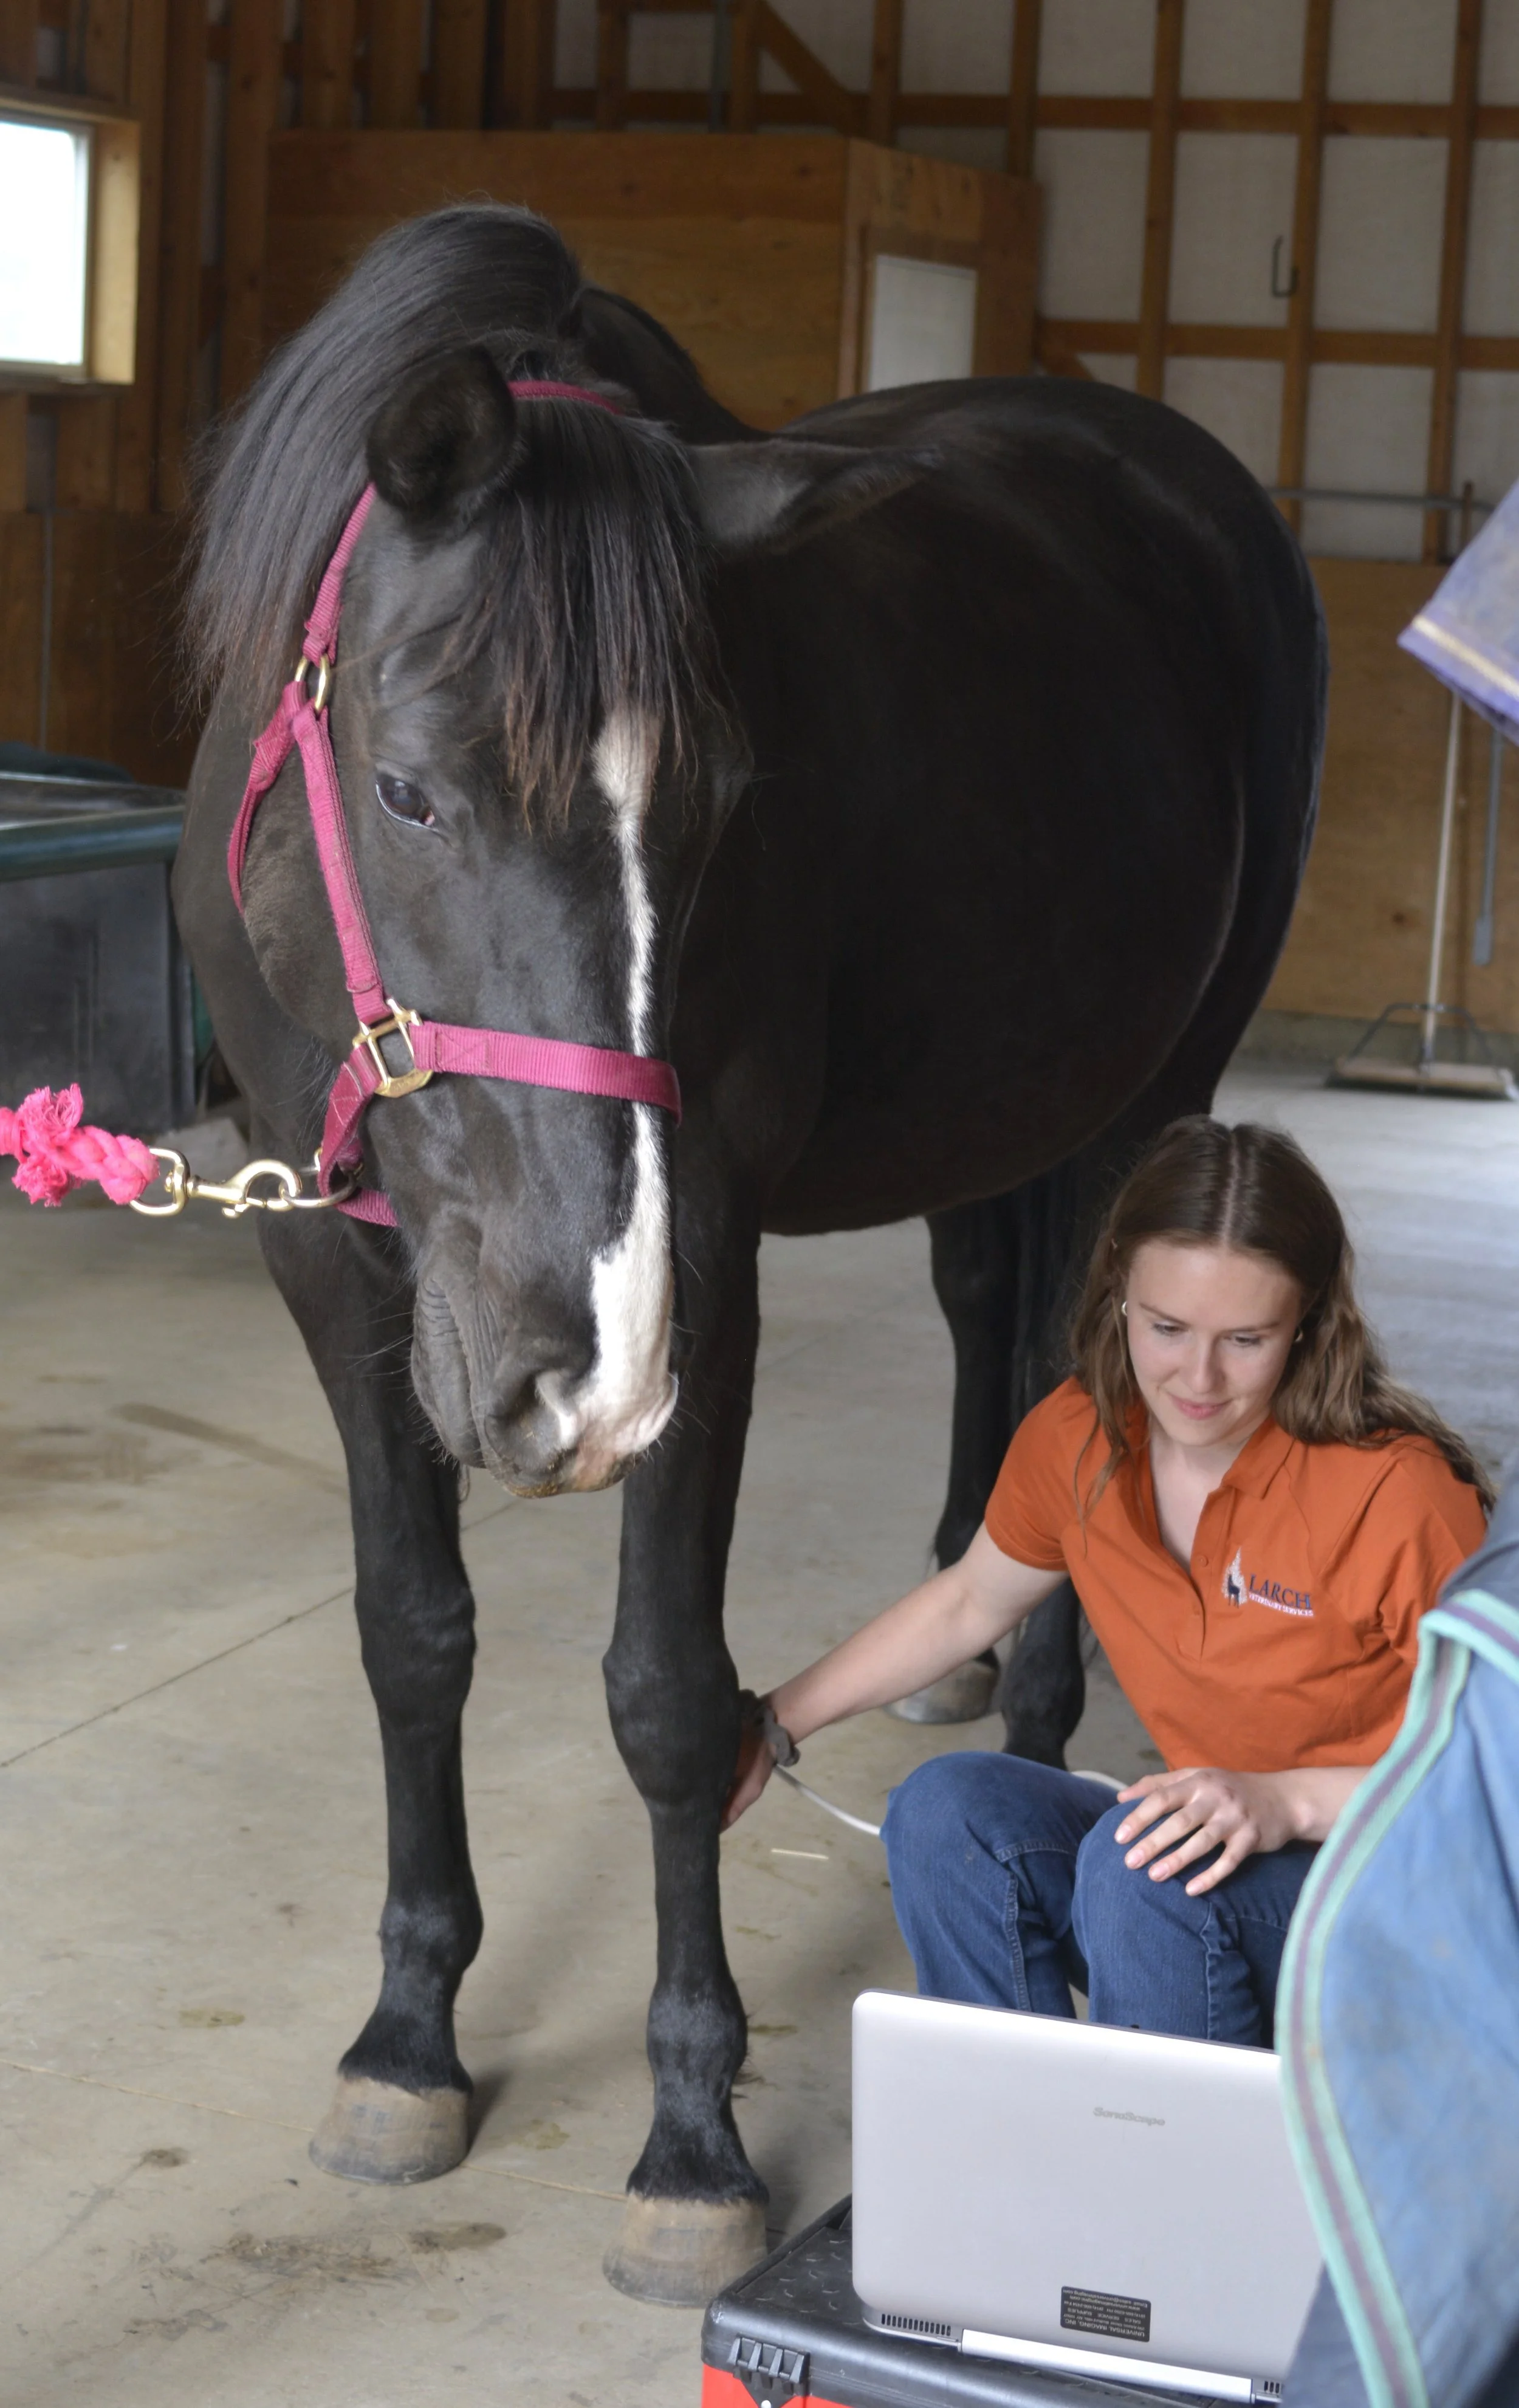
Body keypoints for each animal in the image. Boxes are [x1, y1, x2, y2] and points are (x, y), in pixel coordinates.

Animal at [173, 202, 1325, 2304]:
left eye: (717, 808)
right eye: (407, 784)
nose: (574, 1370)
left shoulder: (700, 1268)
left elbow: (663, 1697)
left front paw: (691, 2145)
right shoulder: (336, 1273)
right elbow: (409, 1635)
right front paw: (406, 2043)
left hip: (1155, 1090)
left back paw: (1037, 1711)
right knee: (983, 1308)